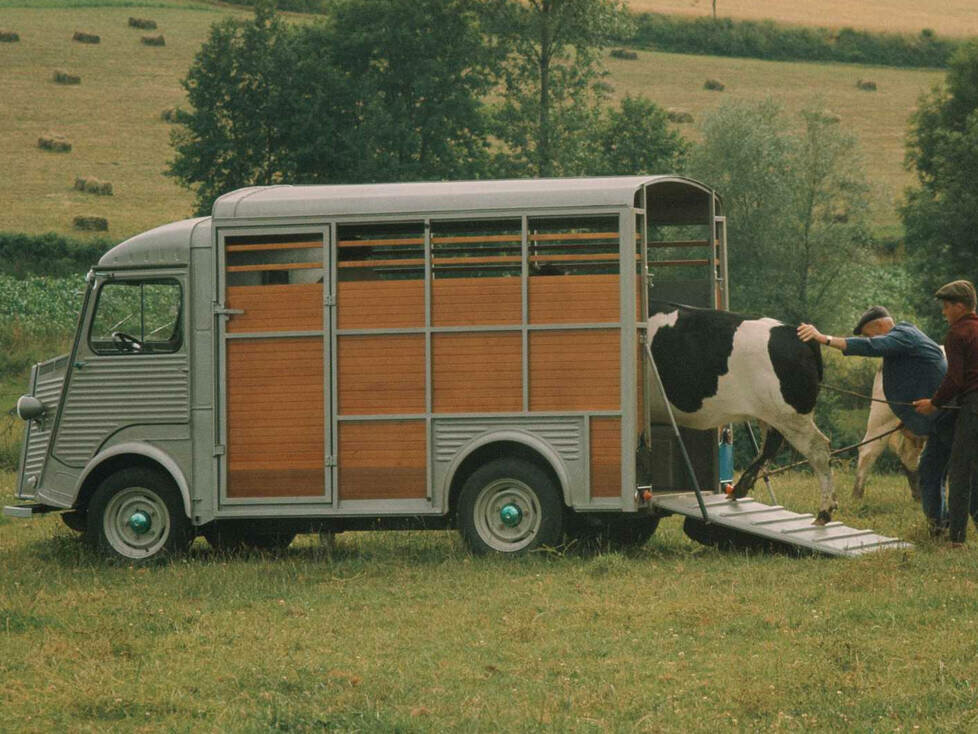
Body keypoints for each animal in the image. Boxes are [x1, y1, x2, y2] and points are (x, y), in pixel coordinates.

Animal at [648, 304, 832, 524]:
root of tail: (794, 331)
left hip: (791, 414)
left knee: (818, 448)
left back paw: (824, 512)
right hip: (773, 414)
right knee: (771, 444)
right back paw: (739, 488)